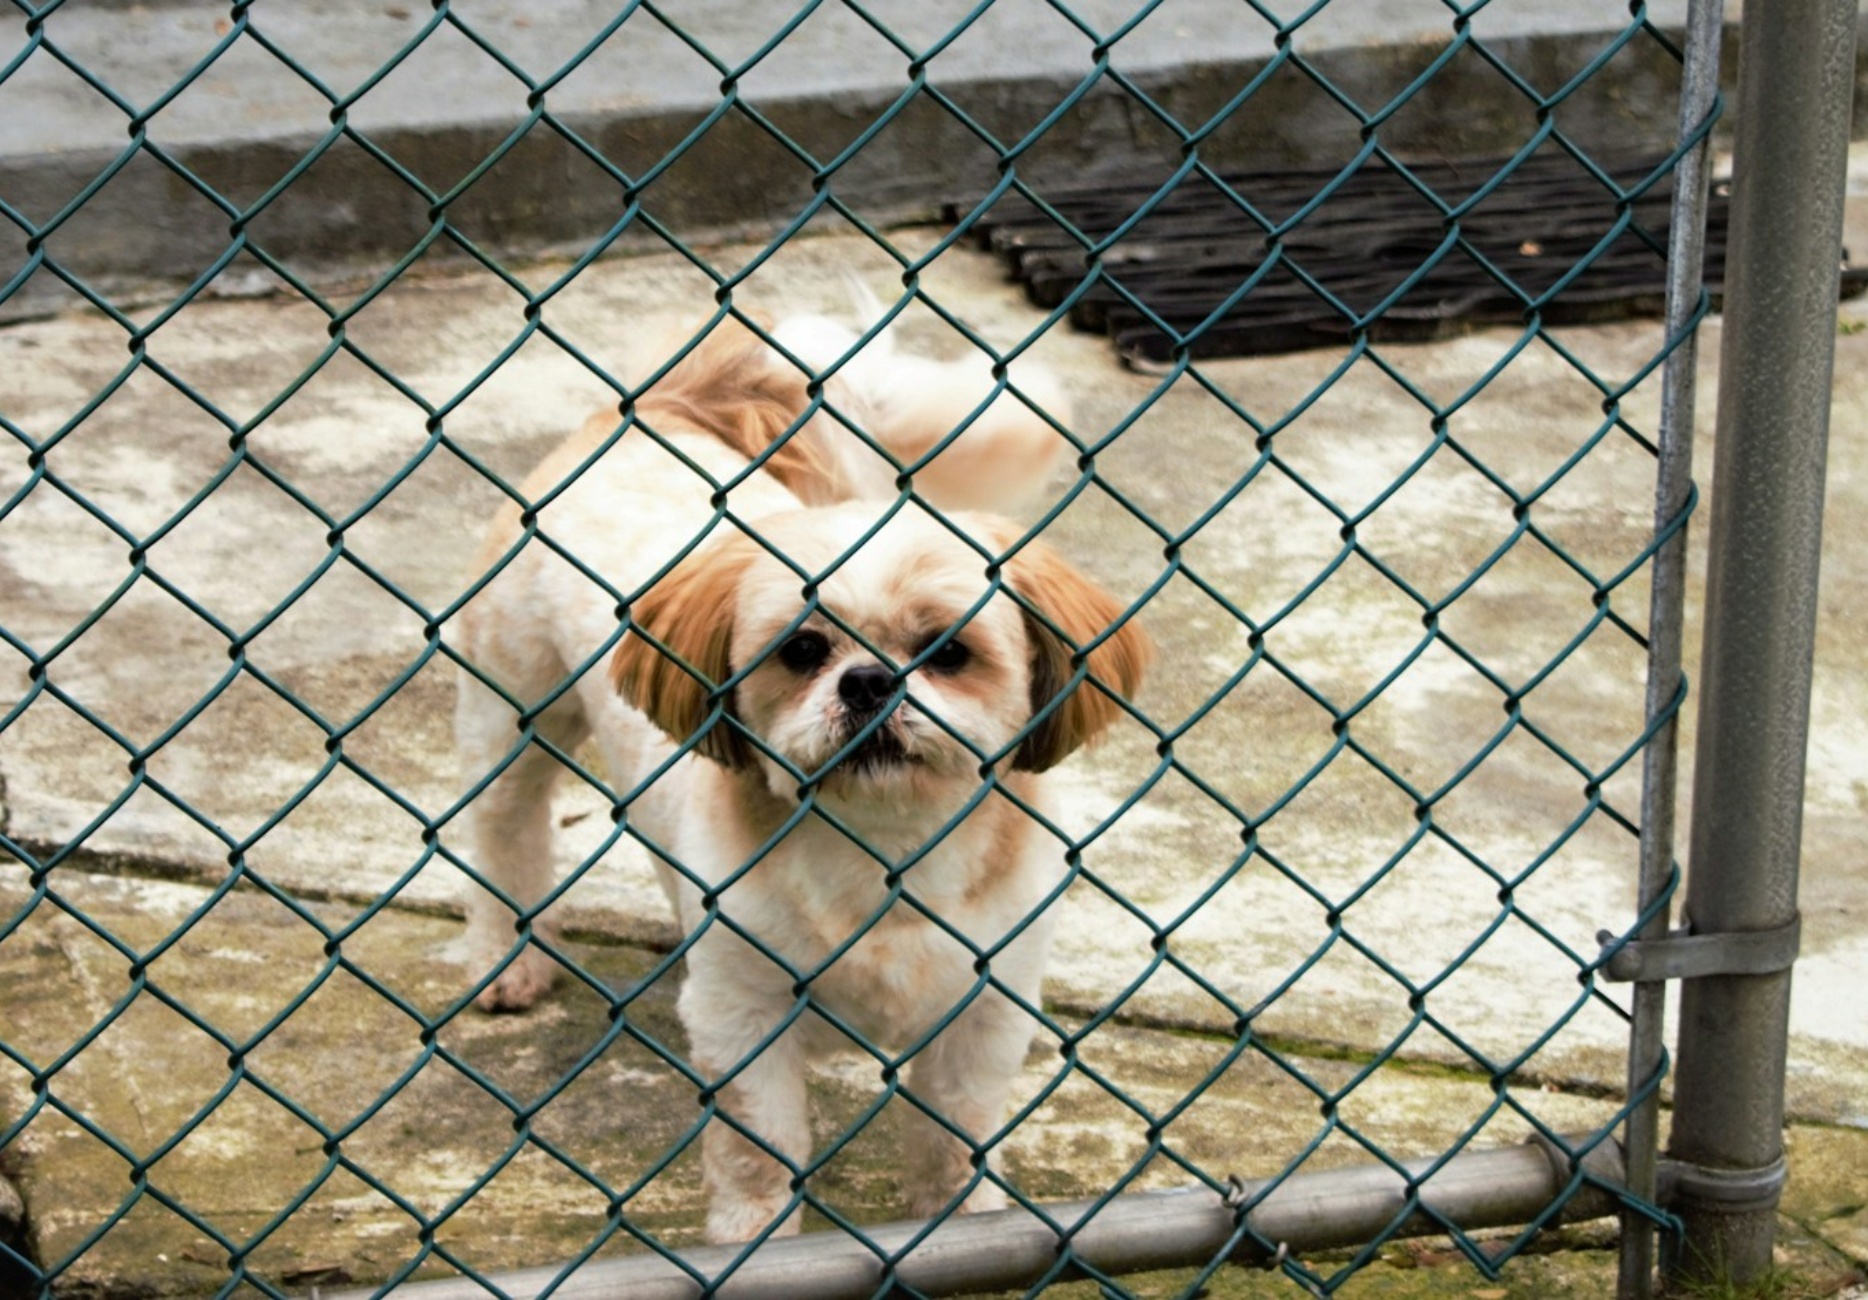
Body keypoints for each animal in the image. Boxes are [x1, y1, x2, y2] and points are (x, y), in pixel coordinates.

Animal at [455, 310, 1150, 1247]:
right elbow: (759, 1144)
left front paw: (963, 1219)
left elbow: (955, 1134)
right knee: (507, 831)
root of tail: (655, 413)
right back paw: (509, 959)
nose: (868, 681)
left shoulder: (980, 1013)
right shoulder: (745, 1019)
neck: (879, 849)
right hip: (513, 714)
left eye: (948, 651)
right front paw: (753, 1236)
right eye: (804, 649)